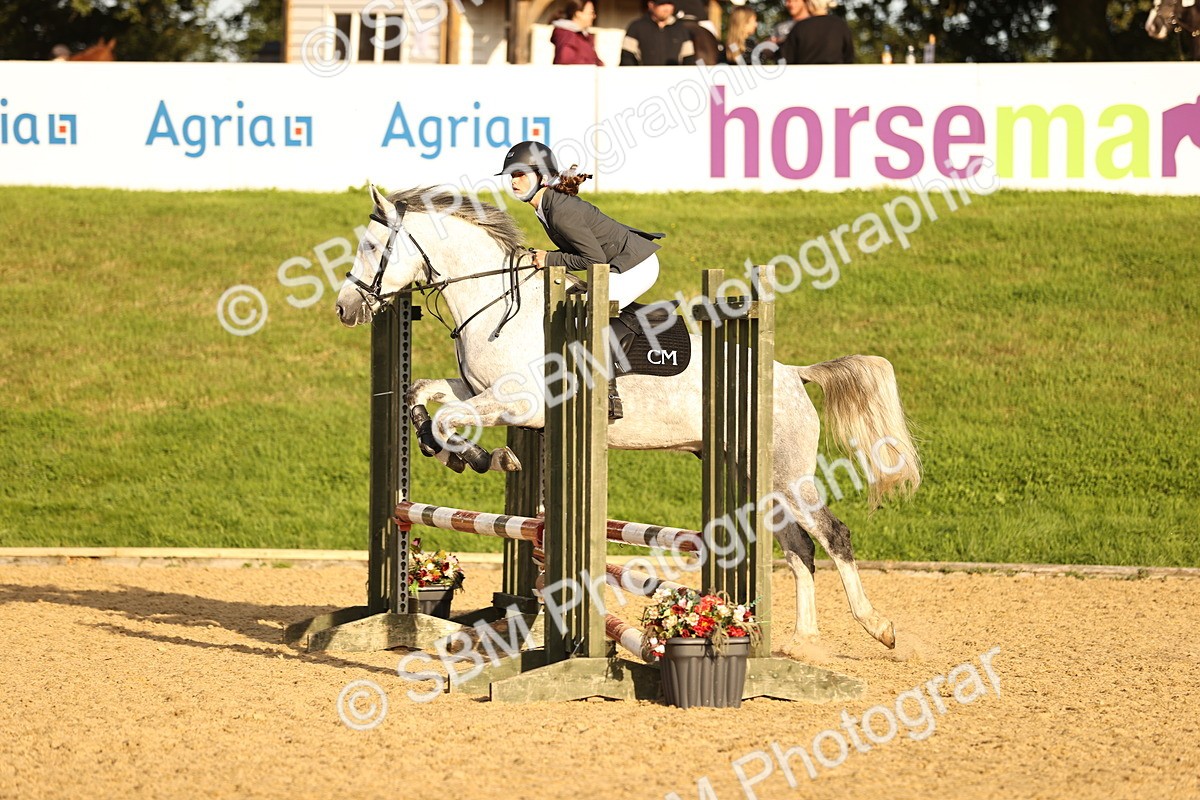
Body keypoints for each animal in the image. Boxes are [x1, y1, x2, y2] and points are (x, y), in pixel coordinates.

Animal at [334, 185, 923, 653]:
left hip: (788, 475)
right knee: (801, 550)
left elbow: (447, 418)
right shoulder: (483, 390)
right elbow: (424, 396)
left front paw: (485, 456)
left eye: (370, 247)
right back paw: (803, 641)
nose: (344, 308)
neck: (495, 302)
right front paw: (457, 450)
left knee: (833, 535)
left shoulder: (521, 404)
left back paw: (879, 628)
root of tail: (793, 374)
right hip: (758, 477)